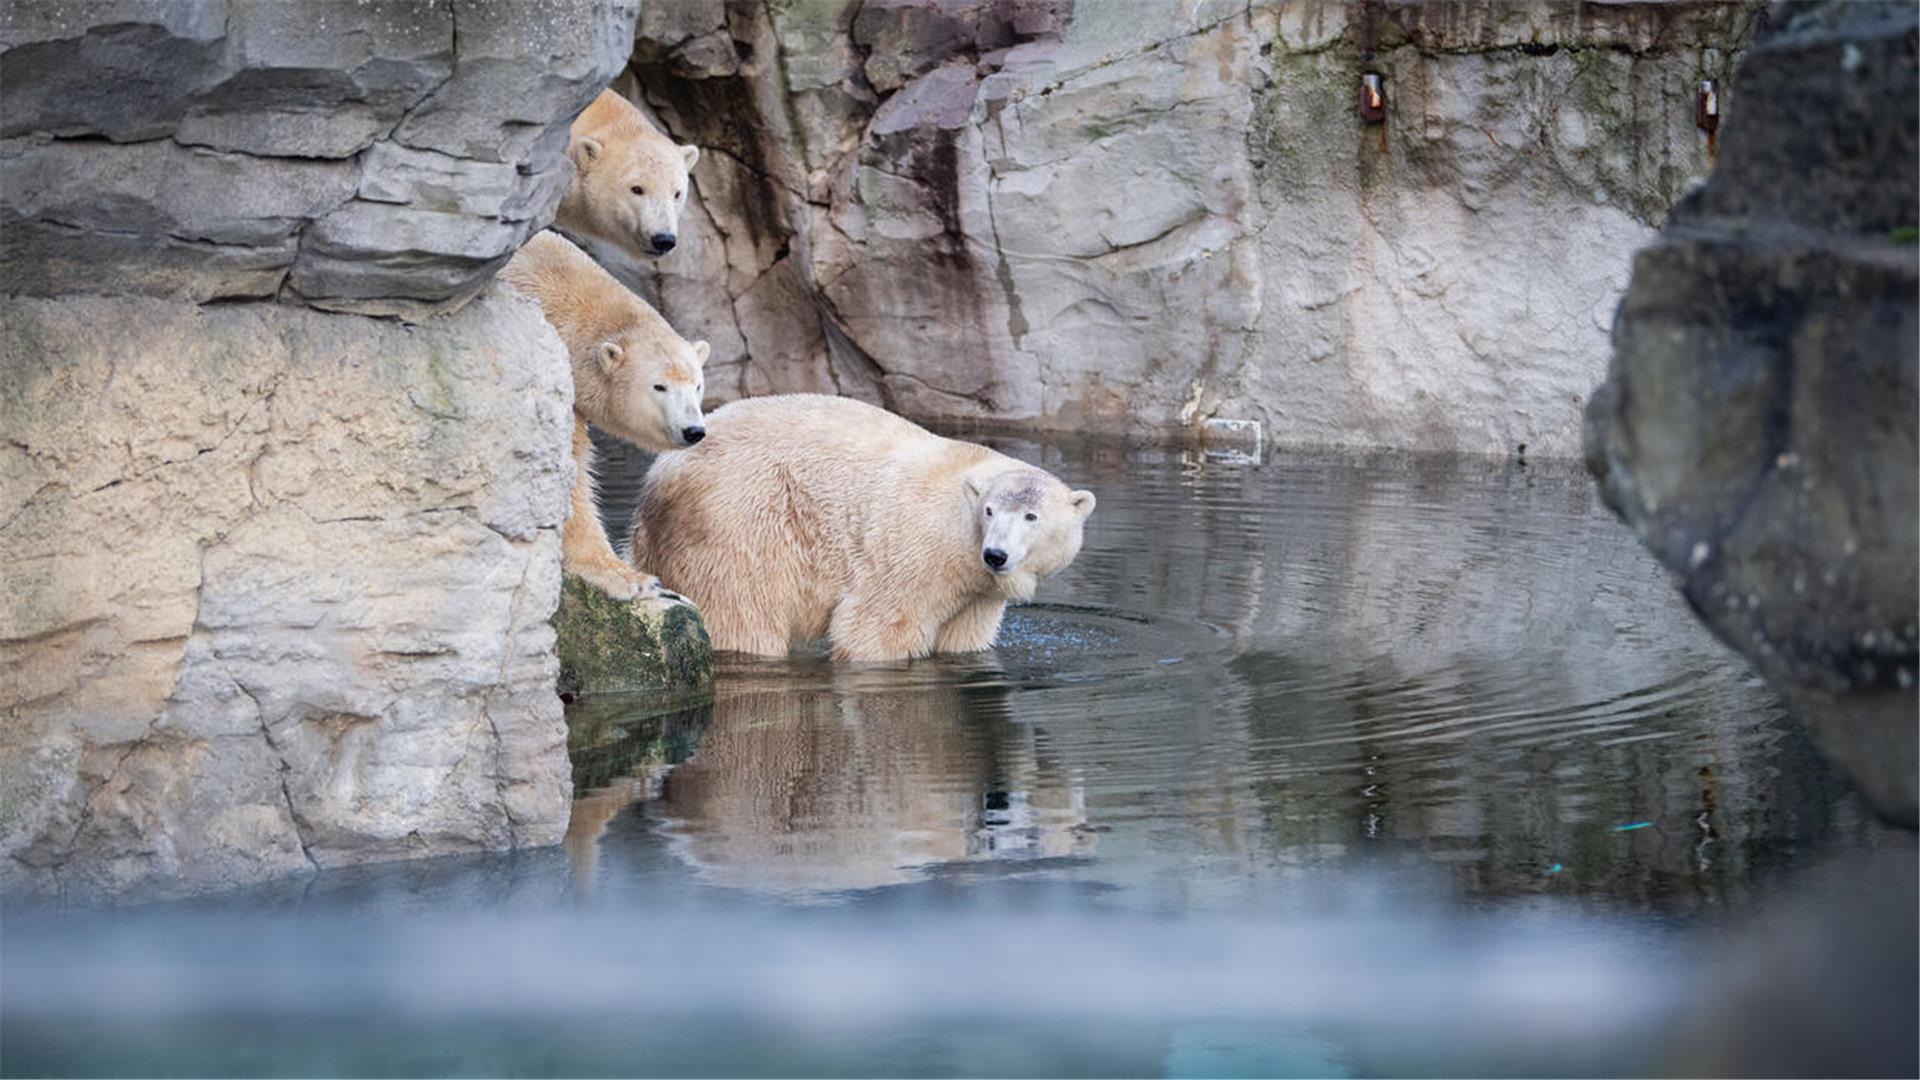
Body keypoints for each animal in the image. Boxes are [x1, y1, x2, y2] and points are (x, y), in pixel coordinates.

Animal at [629, 390, 1098, 661]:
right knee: (743, 612)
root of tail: (659, 475)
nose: (996, 554)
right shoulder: (917, 553)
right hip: (737, 517)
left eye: (1032, 516)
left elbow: (964, 637)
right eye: (990, 511)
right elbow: (875, 628)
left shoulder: (977, 592)